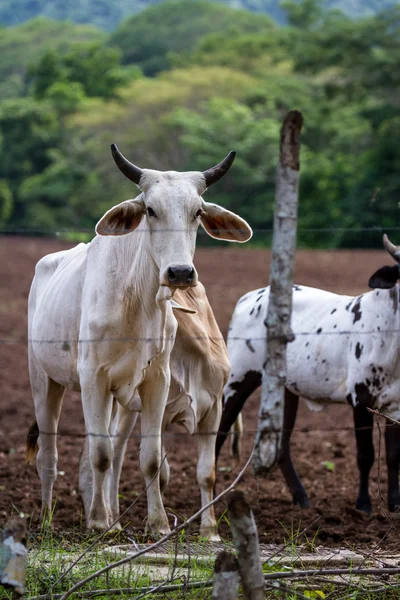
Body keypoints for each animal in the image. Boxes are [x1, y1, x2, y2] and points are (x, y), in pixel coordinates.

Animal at [25, 146, 250, 536]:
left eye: (198, 212)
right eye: (150, 209)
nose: (180, 272)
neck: (136, 302)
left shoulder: (156, 382)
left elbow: (150, 460)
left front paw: (157, 524)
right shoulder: (92, 379)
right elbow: (101, 456)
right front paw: (99, 522)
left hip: (119, 397)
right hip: (44, 379)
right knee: (50, 455)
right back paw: (49, 519)